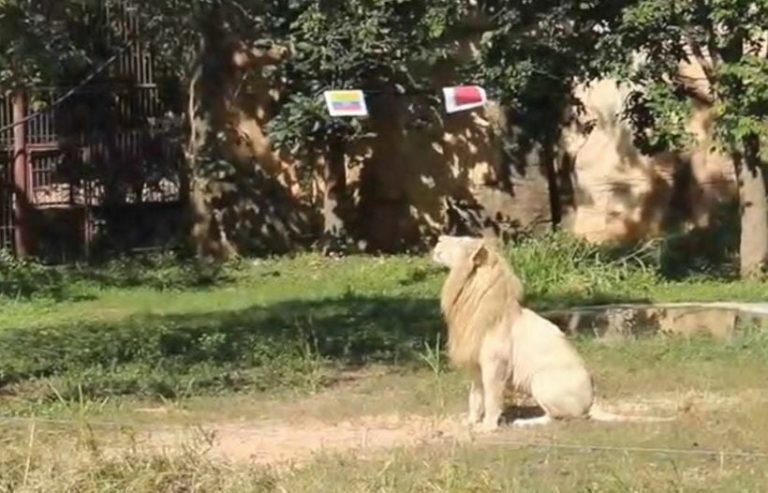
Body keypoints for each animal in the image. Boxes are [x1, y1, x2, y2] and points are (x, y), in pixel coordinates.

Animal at [432, 235, 674, 431]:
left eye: (462, 240)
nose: (439, 238)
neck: (467, 296)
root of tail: (592, 401)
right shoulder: (475, 365)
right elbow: (475, 397)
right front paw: (470, 421)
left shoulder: (495, 365)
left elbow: (492, 397)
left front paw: (487, 427)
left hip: (541, 381)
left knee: (559, 417)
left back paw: (525, 422)